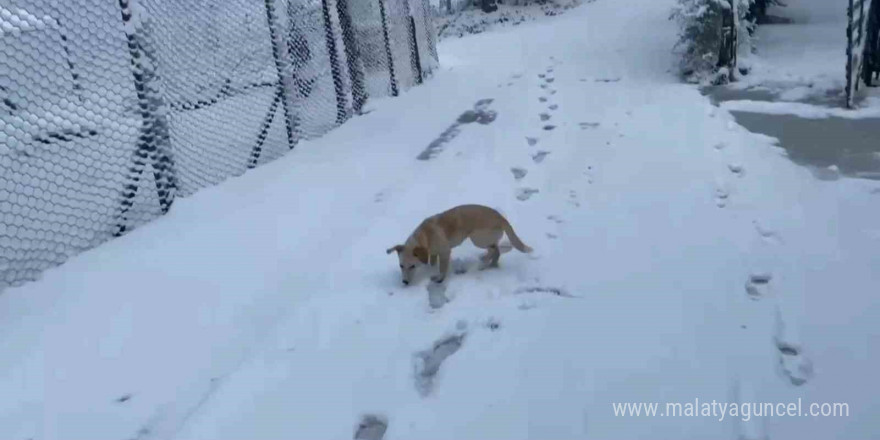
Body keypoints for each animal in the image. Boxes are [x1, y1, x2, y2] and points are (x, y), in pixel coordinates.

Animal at [388, 204, 532, 286]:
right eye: (401, 266)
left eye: (412, 266)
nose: (405, 282)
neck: (425, 235)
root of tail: (502, 218)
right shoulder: (433, 253)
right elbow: (433, 262)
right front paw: (430, 268)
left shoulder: (445, 252)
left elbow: (442, 269)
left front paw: (439, 278)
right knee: (496, 250)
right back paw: (490, 263)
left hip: (477, 239)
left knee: (494, 249)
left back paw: (485, 262)